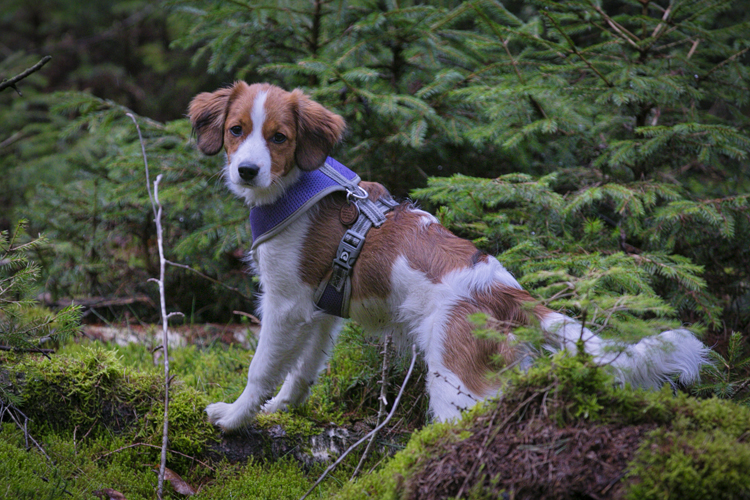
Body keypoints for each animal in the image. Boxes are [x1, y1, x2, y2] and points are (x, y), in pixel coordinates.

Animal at [188, 82, 712, 430]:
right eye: (236, 130)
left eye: (279, 137)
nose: (247, 170)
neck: (297, 189)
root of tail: (504, 291)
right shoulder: (321, 311)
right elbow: (302, 371)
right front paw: (281, 409)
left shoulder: (285, 304)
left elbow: (260, 368)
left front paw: (234, 416)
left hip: (454, 381)